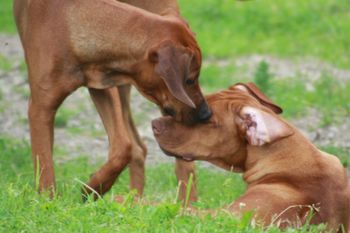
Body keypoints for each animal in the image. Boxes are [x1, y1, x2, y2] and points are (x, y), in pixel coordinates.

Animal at [13, 0, 211, 200]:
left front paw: (92, 188)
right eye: (190, 80)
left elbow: (124, 146)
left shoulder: (103, 82)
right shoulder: (41, 108)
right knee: (141, 148)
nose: (206, 113)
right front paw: (50, 202)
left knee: (150, 151)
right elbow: (44, 165)